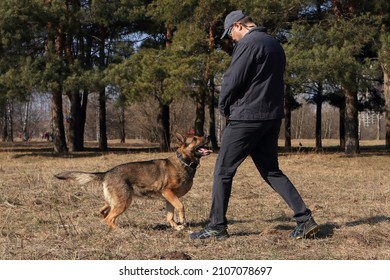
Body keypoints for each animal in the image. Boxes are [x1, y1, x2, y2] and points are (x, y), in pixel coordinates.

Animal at [53, 133, 212, 230]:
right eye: (195, 139)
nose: (208, 135)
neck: (184, 162)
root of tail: (107, 172)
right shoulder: (168, 193)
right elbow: (181, 206)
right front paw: (182, 221)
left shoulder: (168, 198)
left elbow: (169, 215)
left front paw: (176, 226)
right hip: (124, 202)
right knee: (109, 218)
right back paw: (119, 230)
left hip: (116, 201)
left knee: (103, 211)